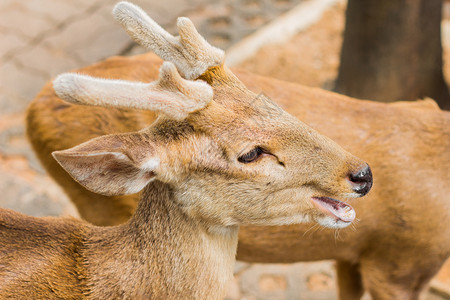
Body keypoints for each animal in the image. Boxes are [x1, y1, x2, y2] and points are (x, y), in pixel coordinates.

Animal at [25, 1, 450, 298]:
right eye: (249, 153)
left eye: (273, 103)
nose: (362, 174)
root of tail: (32, 111)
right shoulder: (398, 262)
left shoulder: (354, 256)